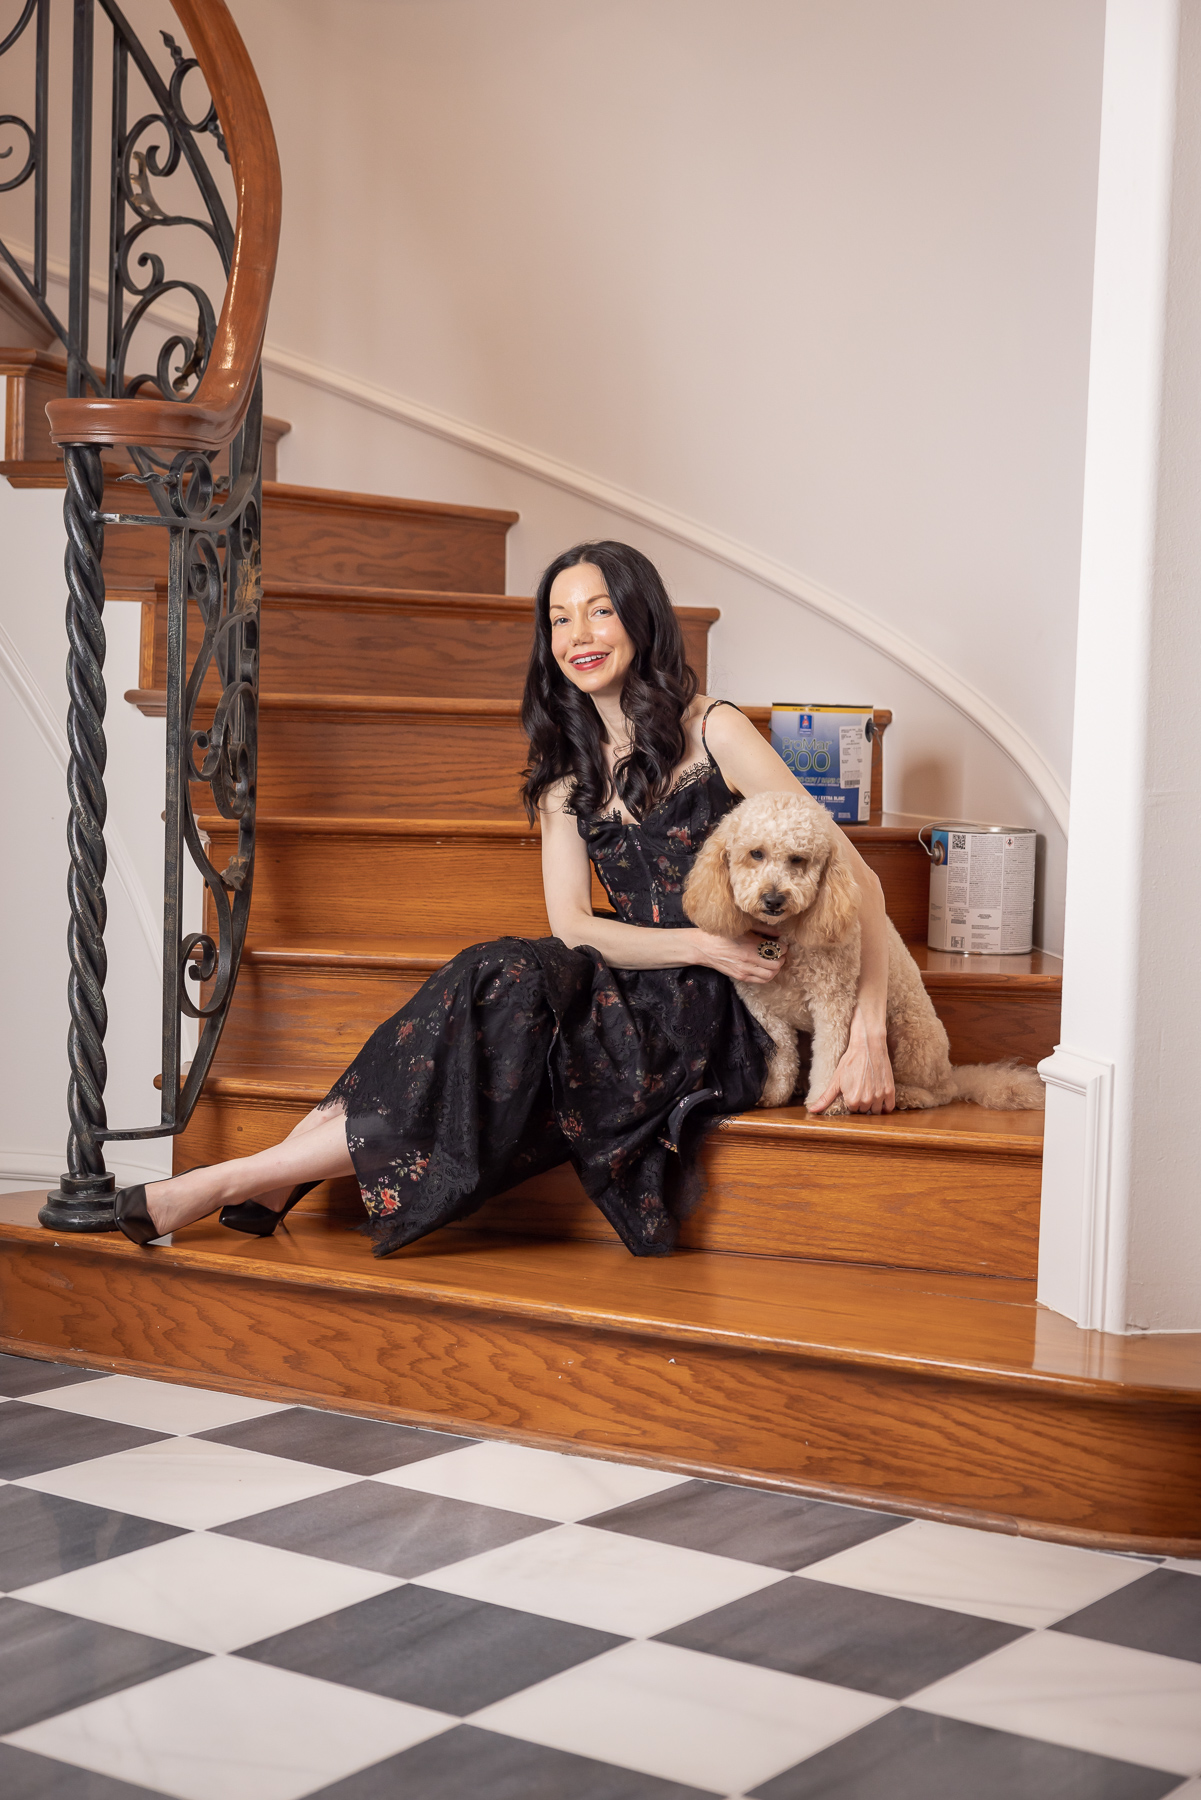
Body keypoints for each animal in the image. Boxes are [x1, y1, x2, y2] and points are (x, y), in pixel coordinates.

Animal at [684, 792, 1044, 1108]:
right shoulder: (764, 1010)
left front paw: (828, 1103)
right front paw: (774, 1094)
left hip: (912, 1036)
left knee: (938, 1092)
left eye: (798, 860)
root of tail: (951, 1072)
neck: (787, 932)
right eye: (756, 854)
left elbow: (830, 1058)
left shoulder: (833, 1003)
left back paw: (908, 1096)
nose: (773, 899)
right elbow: (782, 1057)